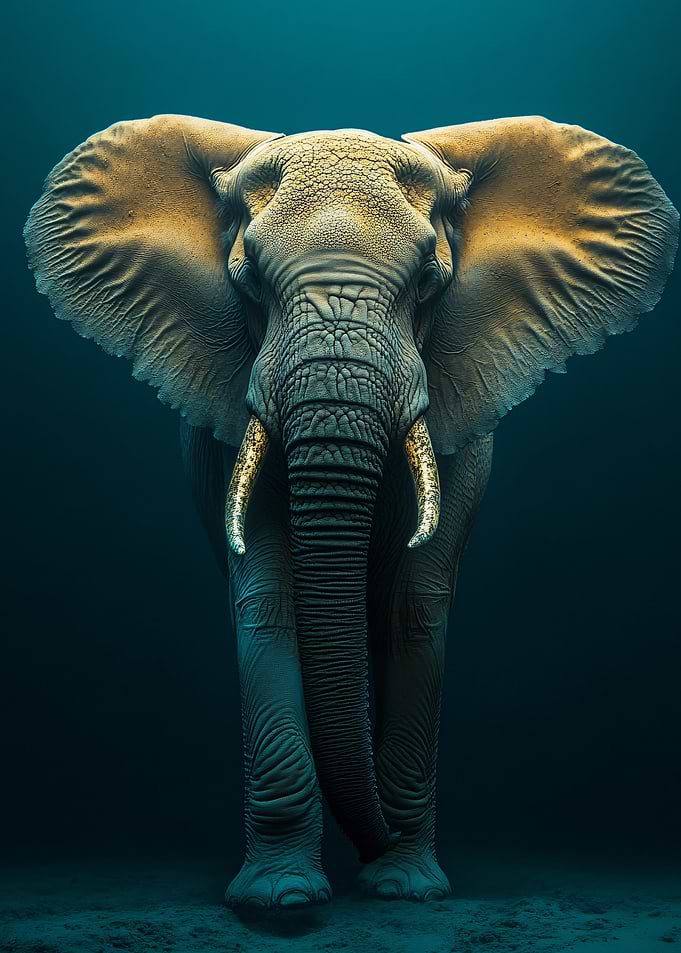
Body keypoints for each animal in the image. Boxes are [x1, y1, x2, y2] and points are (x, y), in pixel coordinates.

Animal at [25, 115, 677, 910]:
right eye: (248, 281)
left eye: (428, 281)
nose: (375, 839)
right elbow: (266, 598)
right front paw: (281, 898)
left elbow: (414, 607)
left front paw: (404, 886)